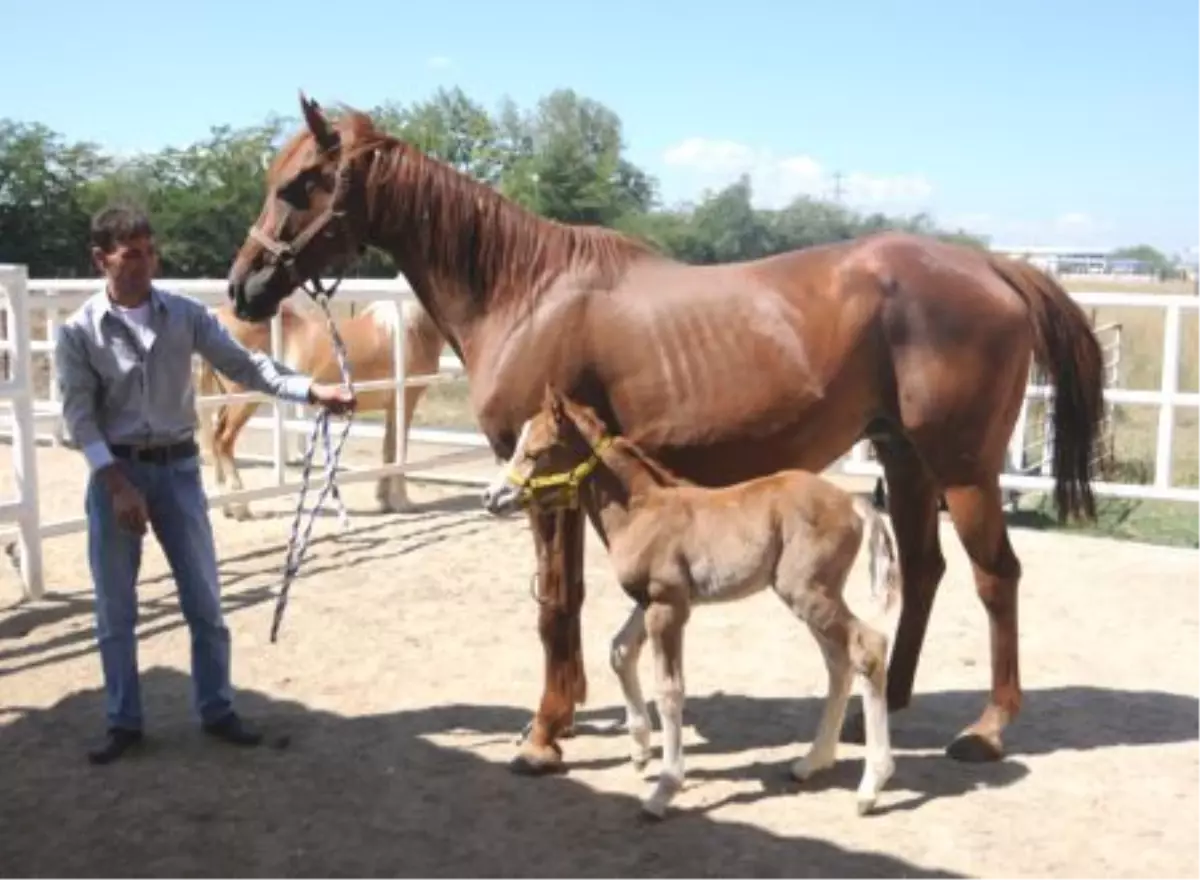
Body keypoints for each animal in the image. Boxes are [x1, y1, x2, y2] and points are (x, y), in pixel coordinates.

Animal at [196, 291, 446, 518]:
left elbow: (388, 450)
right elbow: (399, 452)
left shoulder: (393, 407)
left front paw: (384, 499)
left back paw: (227, 506)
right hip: (244, 401)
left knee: (216, 437)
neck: (411, 329)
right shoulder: (406, 401)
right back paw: (240, 507)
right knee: (224, 441)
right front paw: (402, 502)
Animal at [223, 92, 1104, 773]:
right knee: (923, 572)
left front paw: (543, 735)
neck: (524, 292)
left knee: (996, 577)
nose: (242, 287)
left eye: (301, 185)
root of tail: (992, 268)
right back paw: (876, 710)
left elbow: (555, 603)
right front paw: (571, 712)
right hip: (905, 456)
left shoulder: (545, 486)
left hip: (962, 468)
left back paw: (987, 730)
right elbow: (569, 601)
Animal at [480, 388, 902, 821]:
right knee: (839, 664)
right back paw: (811, 762)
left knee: (868, 648)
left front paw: (664, 790)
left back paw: (871, 787)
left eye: (536, 451)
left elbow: (669, 690)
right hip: (810, 597)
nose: (492, 497)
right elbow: (620, 651)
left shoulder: (668, 607)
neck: (641, 509)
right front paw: (639, 750)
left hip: (809, 592)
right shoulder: (651, 600)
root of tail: (852, 502)